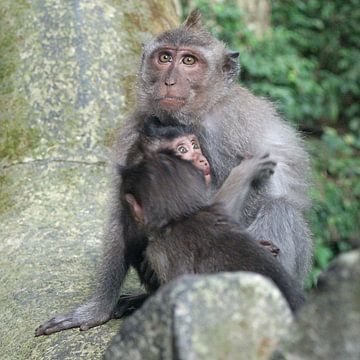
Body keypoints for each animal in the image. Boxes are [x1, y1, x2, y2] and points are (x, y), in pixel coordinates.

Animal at [35, 10, 312, 338]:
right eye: (165, 57)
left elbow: (262, 191)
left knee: (279, 208)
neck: (191, 117)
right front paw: (98, 308)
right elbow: (122, 210)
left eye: (189, 61)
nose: (169, 80)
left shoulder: (235, 125)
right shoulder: (134, 133)